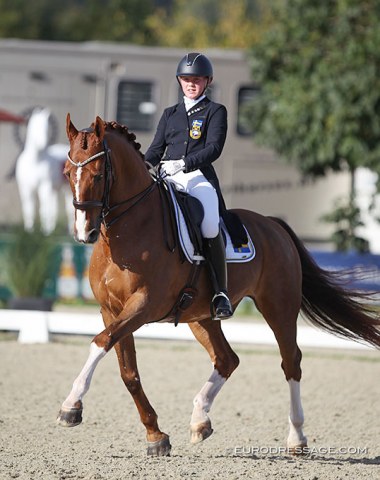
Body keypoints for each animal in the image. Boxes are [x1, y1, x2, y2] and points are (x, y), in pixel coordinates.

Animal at [14, 106, 73, 234]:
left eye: (47, 127)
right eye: (35, 126)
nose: (43, 143)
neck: (35, 162)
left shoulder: (44, 187)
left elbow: (43, 209)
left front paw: (45, 232)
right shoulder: (26, 189)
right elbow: (29, 209)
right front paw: (29, 231)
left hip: (66, 189)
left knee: (69, 209)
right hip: (57, 189)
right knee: (55, 208)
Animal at [57, 113, 380, 458]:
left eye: (98, 173)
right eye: (67, 173)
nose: (85, 233)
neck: (126, 232)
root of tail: (272, 224)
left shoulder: (144, 304)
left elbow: (100, 342)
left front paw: (70, 406)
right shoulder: (111, 310)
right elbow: (127, 371)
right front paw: (156, 436)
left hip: (279, 307)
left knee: (290, 362)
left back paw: (296, 439)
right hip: (202, 316)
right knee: (227, 359)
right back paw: (200, 420)